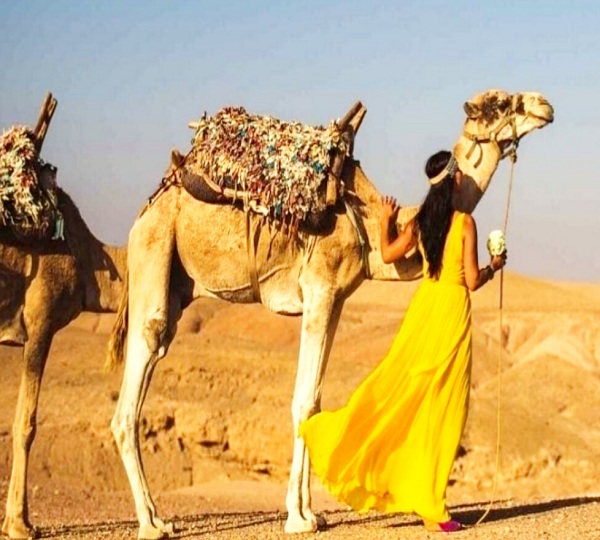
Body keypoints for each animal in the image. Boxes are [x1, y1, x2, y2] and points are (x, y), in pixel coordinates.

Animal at [106, 88, 552, 536]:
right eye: (499, 103)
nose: (544, 105)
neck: (366, 219)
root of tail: (145, 210)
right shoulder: (319, 290)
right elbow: (303, 401)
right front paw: (297, 519)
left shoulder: (335, 300)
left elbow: (315, 401)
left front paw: (311, 513)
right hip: (155, 248)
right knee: (138, 374)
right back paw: (152, 524)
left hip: (178, 280)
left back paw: (156, 518)